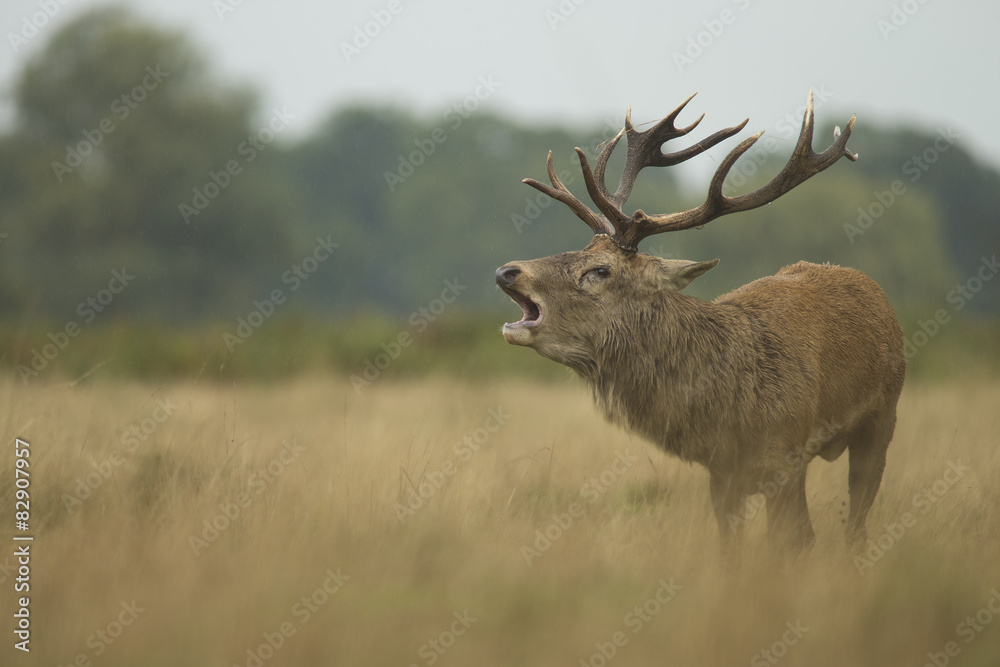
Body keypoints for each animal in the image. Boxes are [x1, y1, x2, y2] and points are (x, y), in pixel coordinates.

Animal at [495, 91, 905, 553]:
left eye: (600, 270)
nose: (508, 271)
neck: (732, 406)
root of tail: (872, 289)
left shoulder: (786, 456)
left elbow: (796, 541)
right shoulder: (721, 471)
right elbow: (731, 550)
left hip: (882, 419)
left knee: (857, 521)